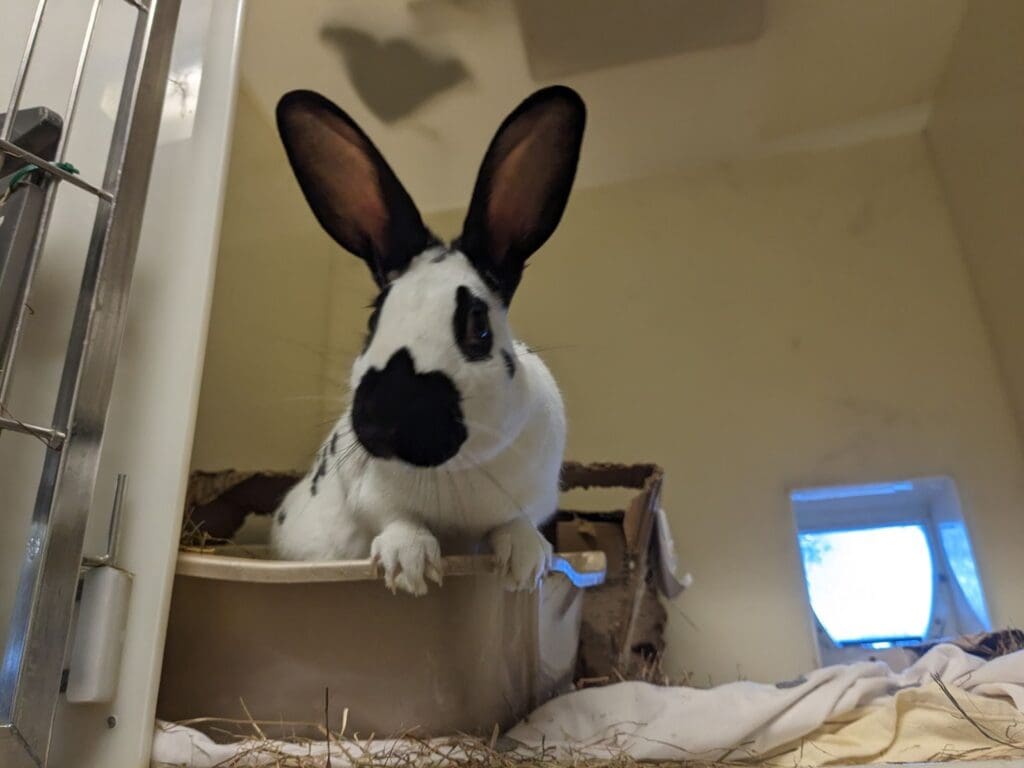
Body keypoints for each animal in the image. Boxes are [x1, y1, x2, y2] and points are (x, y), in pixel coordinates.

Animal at [269, 86, 586, 596]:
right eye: (374, 318)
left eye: (477, 325)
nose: (385, 423)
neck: (456, 471)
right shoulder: (371, 495)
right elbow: (398, 520)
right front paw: (409, 566)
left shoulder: (535, 496)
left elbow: (517, 522)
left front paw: (526, 564)